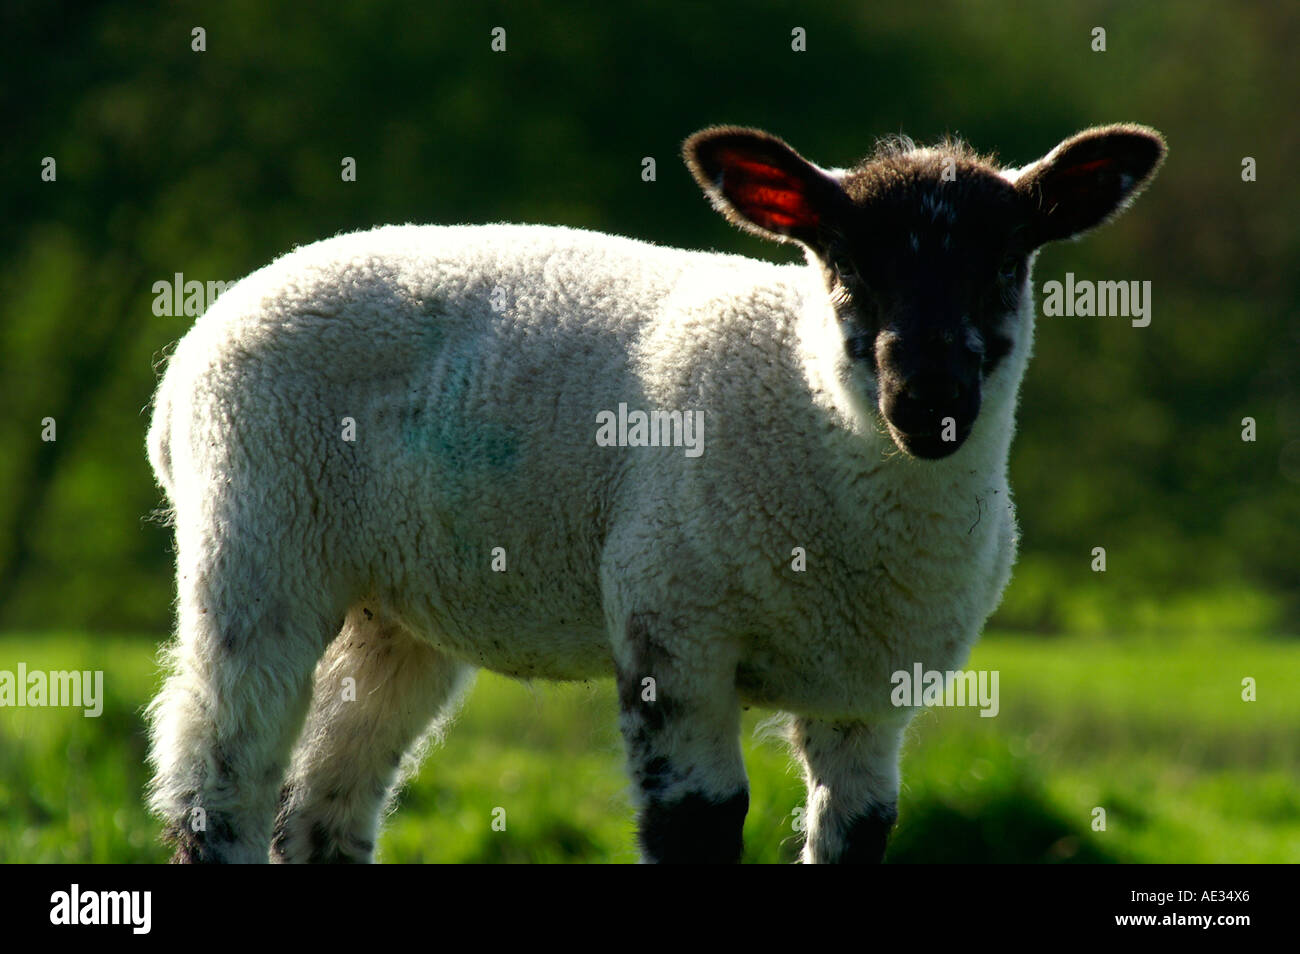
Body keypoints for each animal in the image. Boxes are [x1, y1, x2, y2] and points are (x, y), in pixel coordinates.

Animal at [145, 122, 1165, 863]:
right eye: (844, 264)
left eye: (1008, 263)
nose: (931, 402)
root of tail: (191, 354)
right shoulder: (672, 632)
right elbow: (699, 824)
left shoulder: (871, 695)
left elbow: (860, 834)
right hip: (258, 543)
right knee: (218, 784)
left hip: (396, 612)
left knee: (321, 808)